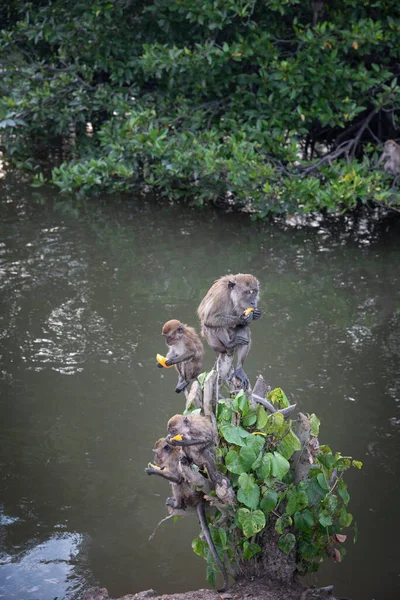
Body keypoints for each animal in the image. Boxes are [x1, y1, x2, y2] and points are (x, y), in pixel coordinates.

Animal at [146, 436, 230, 592]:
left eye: (157, 453)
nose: (155, 460)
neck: (171, 453)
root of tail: (199, 499)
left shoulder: (174, 462)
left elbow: (177, 479)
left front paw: (152, 471)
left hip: (190, 494)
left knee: (179, 483)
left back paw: (177, 504)